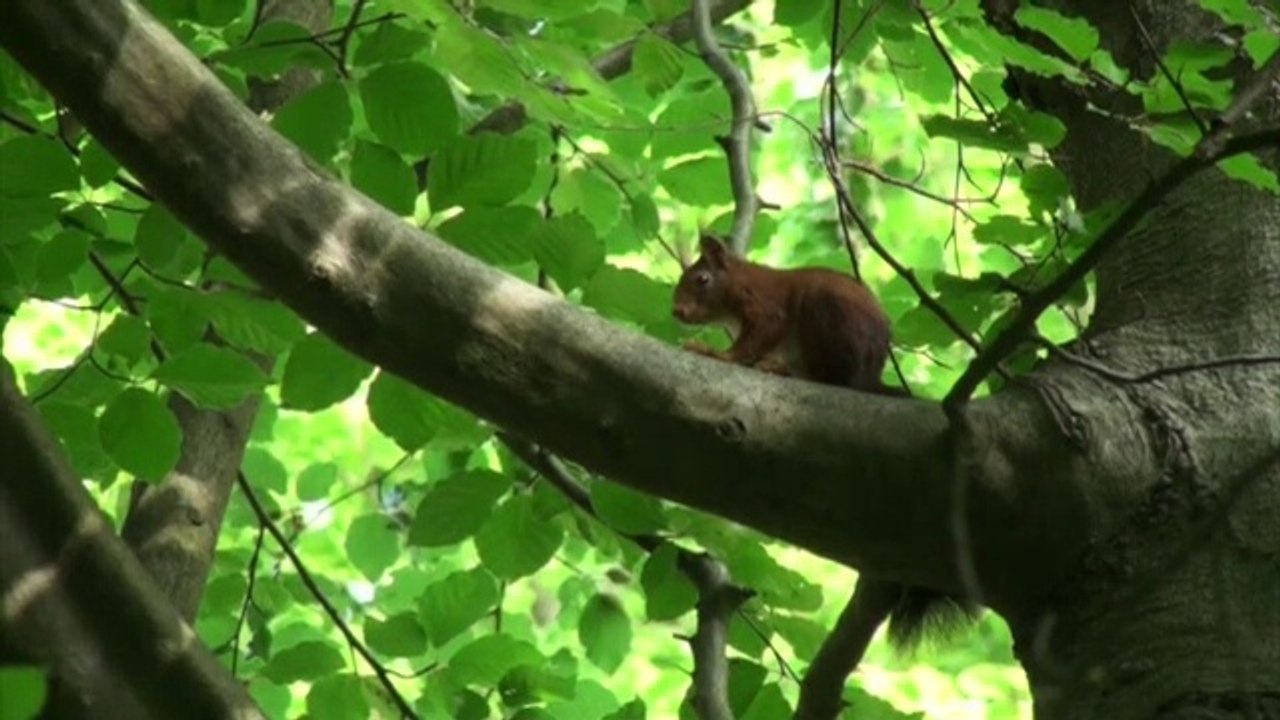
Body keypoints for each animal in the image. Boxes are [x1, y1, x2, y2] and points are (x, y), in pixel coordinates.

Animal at [672, 232, 976, 680]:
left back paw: (783, 370)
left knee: (833, 379)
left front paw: (714, 355)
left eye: (701, 279)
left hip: (825, 319)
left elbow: (751, 342)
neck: (741, 282)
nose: (676, 312)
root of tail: (870, 377)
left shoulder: (765, 309)